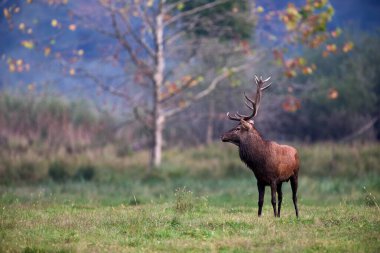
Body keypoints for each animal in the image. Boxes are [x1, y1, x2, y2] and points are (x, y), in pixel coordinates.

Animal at [220, 75, 300, 217]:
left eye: (238, 128)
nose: (222, 136)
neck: (259, 162)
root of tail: (296, 151)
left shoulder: (273, 179)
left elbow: (272, 200)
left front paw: (273, 217)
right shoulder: (260, 180)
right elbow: (260, 201)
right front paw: (260, 216)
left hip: (295, 174)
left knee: (294, 196)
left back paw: (297, 215)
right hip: (281, 181)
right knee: (281, 196)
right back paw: (279, 215)